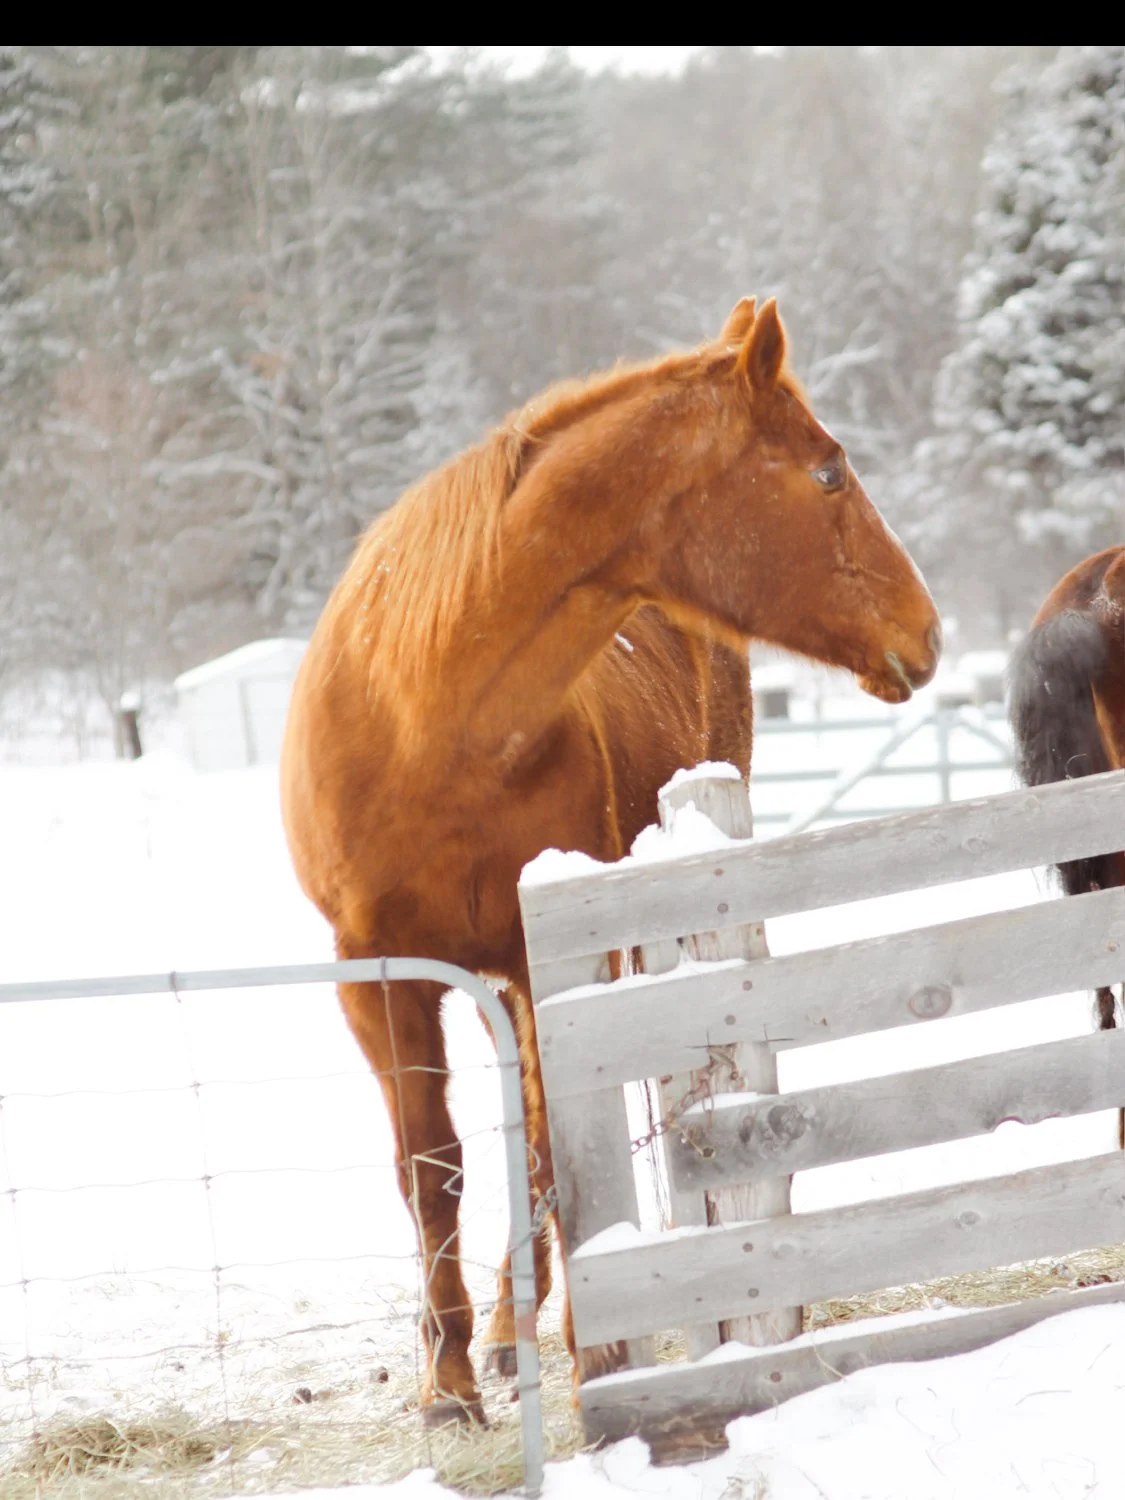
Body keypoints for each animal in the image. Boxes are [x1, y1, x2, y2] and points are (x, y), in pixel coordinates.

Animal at [280, 296, 942, 1424]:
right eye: (827, 473)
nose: (929, 632)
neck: (430, 723)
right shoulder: (378, 978)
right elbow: (431, 1169)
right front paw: (446, 1385)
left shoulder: (542, 959)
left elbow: (550, 1151)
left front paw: (588, 1353)